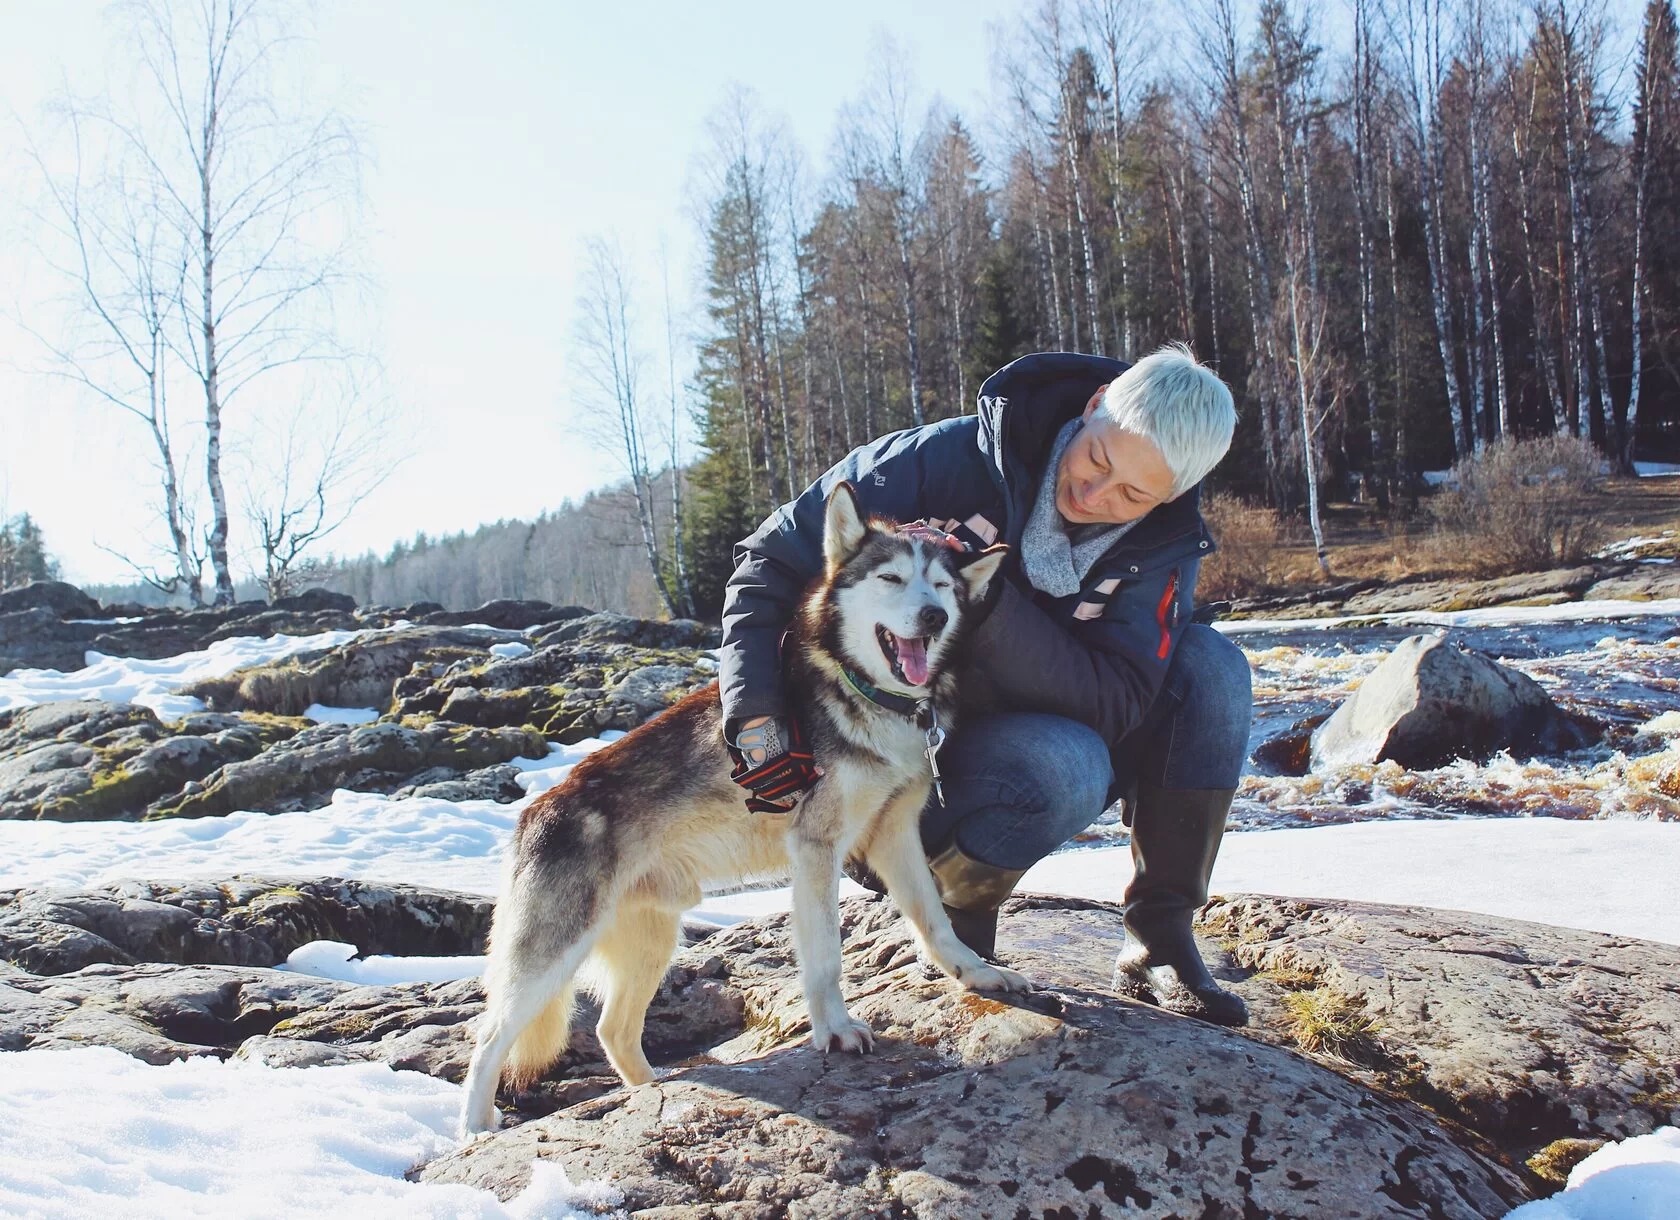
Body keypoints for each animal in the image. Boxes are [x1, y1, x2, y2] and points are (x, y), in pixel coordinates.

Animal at [458, 483, 1031, 1136]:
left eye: (939, 586)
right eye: (890, 577)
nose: (933, 616)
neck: (865, 694)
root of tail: (534, 811)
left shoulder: (895, 833)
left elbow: (935, 920)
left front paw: (977, 973)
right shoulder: (816, 849)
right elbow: (826, 958)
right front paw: (835, 1031)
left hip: (653, 945)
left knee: (612, 1031)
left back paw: (652, 1094)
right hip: (553, 957)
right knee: (488, 1039)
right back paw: (475, 1130)